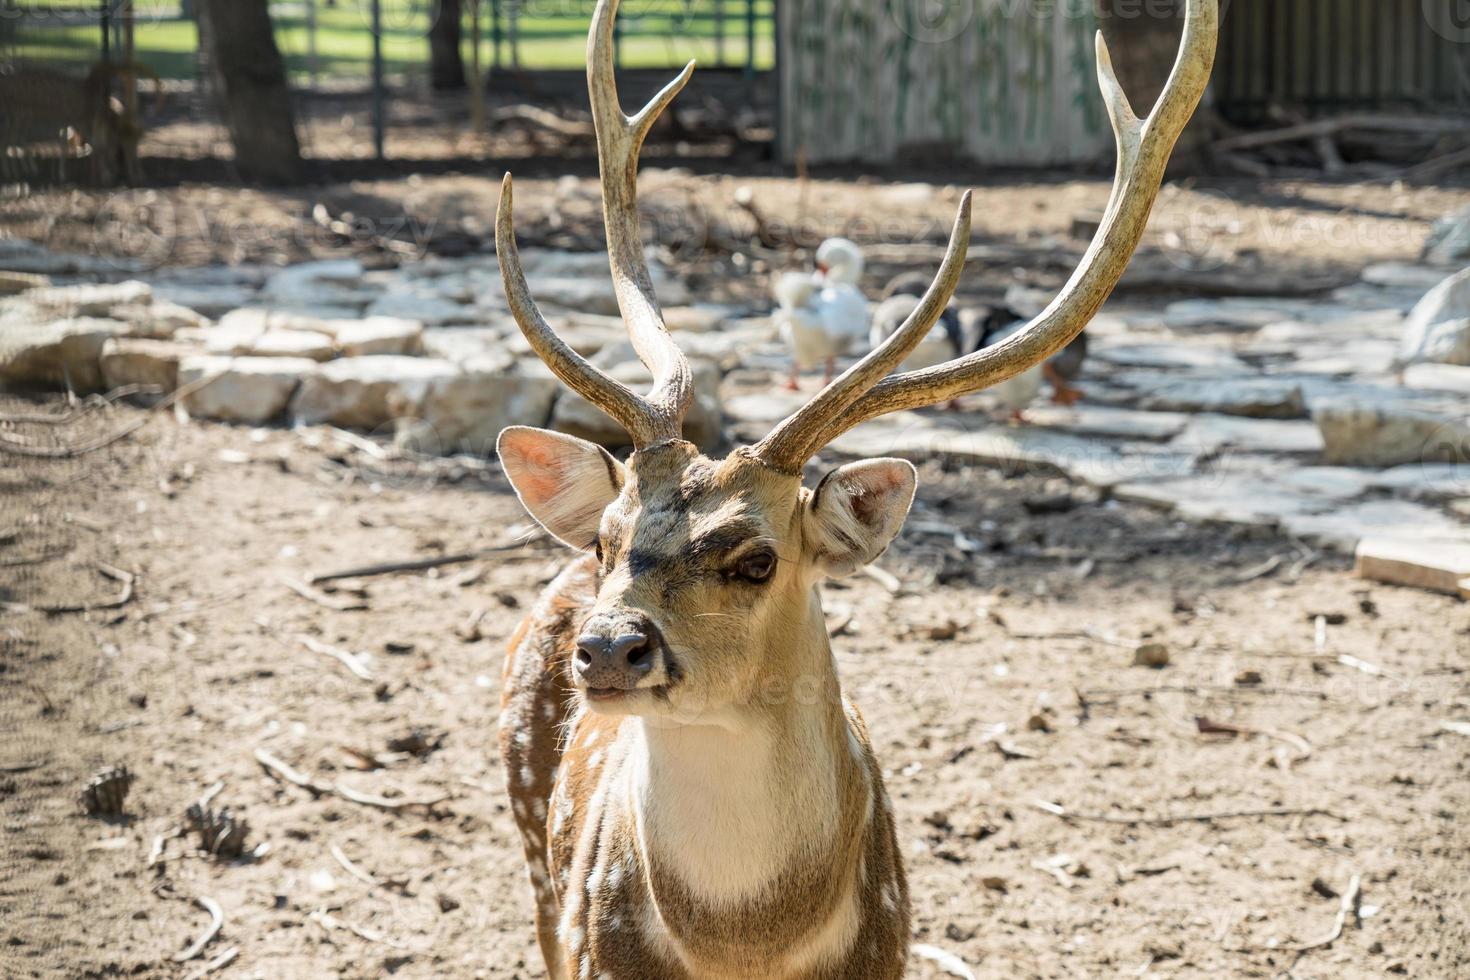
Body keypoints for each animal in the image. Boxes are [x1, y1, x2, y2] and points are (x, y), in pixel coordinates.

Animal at [496, 3, 1217, 975]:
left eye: (758, 559)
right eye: (606, 538)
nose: (610, 647)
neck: (747, 948)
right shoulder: (589, 946)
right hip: (536, 856)